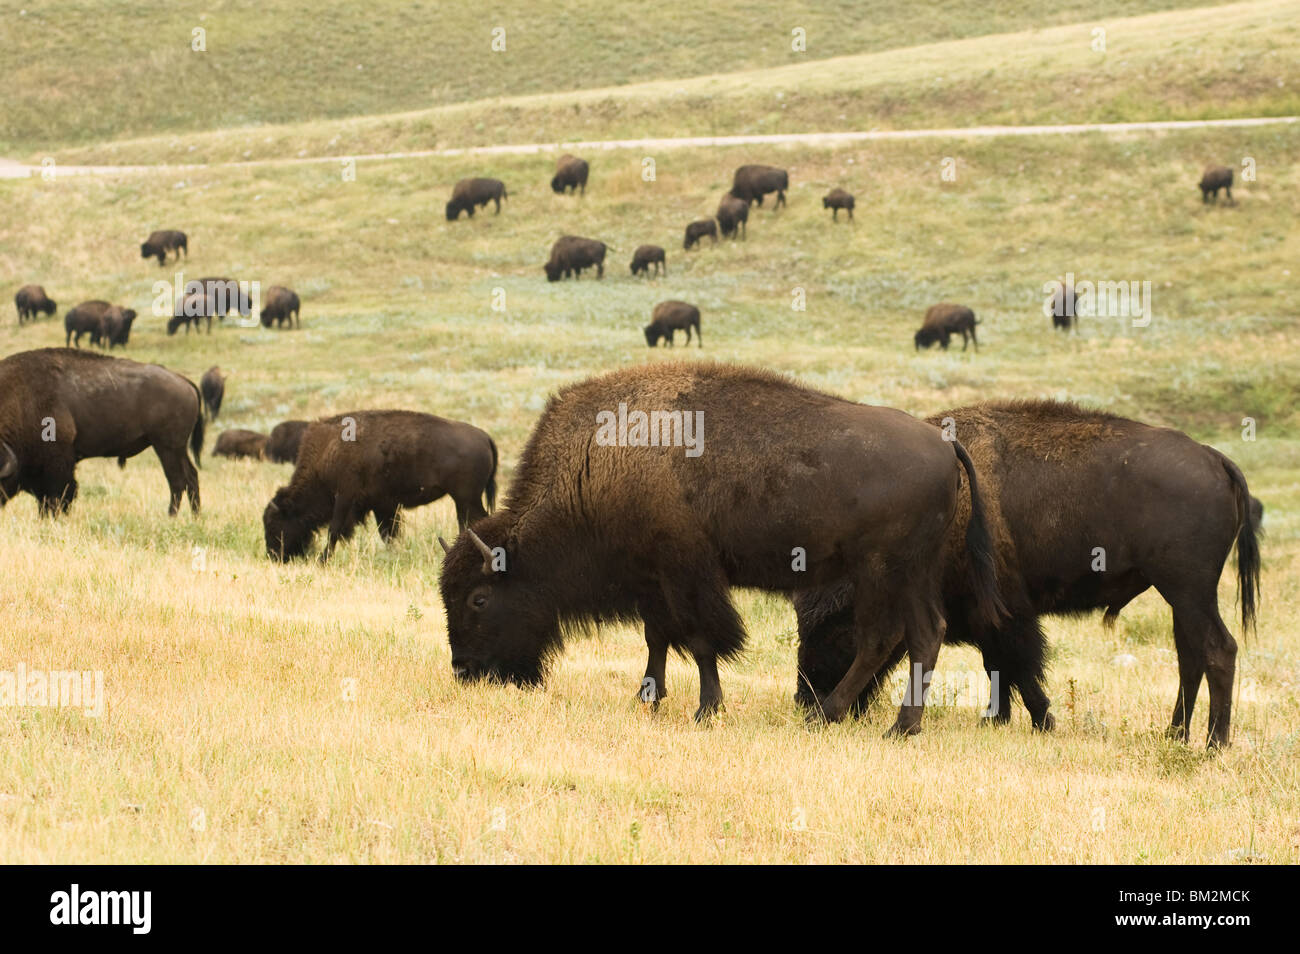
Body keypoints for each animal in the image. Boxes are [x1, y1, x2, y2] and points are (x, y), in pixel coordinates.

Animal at [0, 348, 202, 519]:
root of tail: (183, 381)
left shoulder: (58, 464)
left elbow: (60, 495)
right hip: (177, 449)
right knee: (191, 477)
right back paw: (195, 517)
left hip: (166, 447)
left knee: (176, 481)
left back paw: (171, 517)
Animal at [262, 408, 496, 561]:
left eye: (274, 524)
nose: (274, 556)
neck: (327, 453)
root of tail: (484, 436)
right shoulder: (382, 505)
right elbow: (388, 534)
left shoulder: (344, 497)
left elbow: (334, 529)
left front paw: (323, 560)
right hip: (464, 500)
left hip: (466, 498)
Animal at [441, 361, 998, 733]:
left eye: (479, 598)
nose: (464, 670)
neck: (600, 458)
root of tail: (942, 443)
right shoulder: (653, 578)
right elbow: (658, 638)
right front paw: (648, 698)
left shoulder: (687, 574)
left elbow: (701, 640)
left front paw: (706, 709)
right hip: (908, 574)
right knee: (923, 634)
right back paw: (896, 726)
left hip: (884, 570)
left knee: (883, 637)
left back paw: (842, 717)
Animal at [790, 400, 1258, 748]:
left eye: (838, 626)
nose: (804, 697)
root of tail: (1215, 459)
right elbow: (1000, 667)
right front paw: (1000, 719)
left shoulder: (1002, 614)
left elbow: (1016, 664)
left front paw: (1038, 720)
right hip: (1182, 596)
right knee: (1190, 657)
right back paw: (1174, 734)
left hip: (1189, 589)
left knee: (1219, 649)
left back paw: (1214, 743)